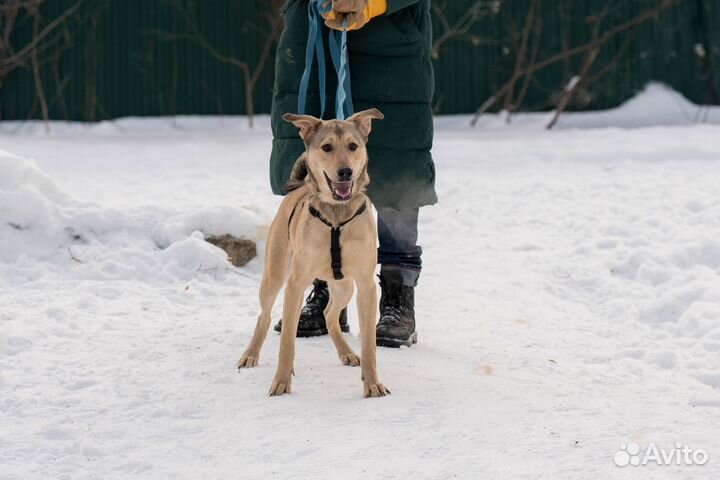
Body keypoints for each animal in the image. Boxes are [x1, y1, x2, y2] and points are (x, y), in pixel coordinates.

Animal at [238, 108, 390, 398]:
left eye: (353, 146)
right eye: (327, 147)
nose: (345, 172)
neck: (336, 216)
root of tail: (298, 188)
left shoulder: (366, 285)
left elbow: (369, 345)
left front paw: (372, 383)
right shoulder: (295, 283)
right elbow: (287, 341)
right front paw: (281, 381)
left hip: (345, 286)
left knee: (330, 314)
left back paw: (346, 352)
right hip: (274, 276)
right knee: (264, 315)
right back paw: (250, 354)